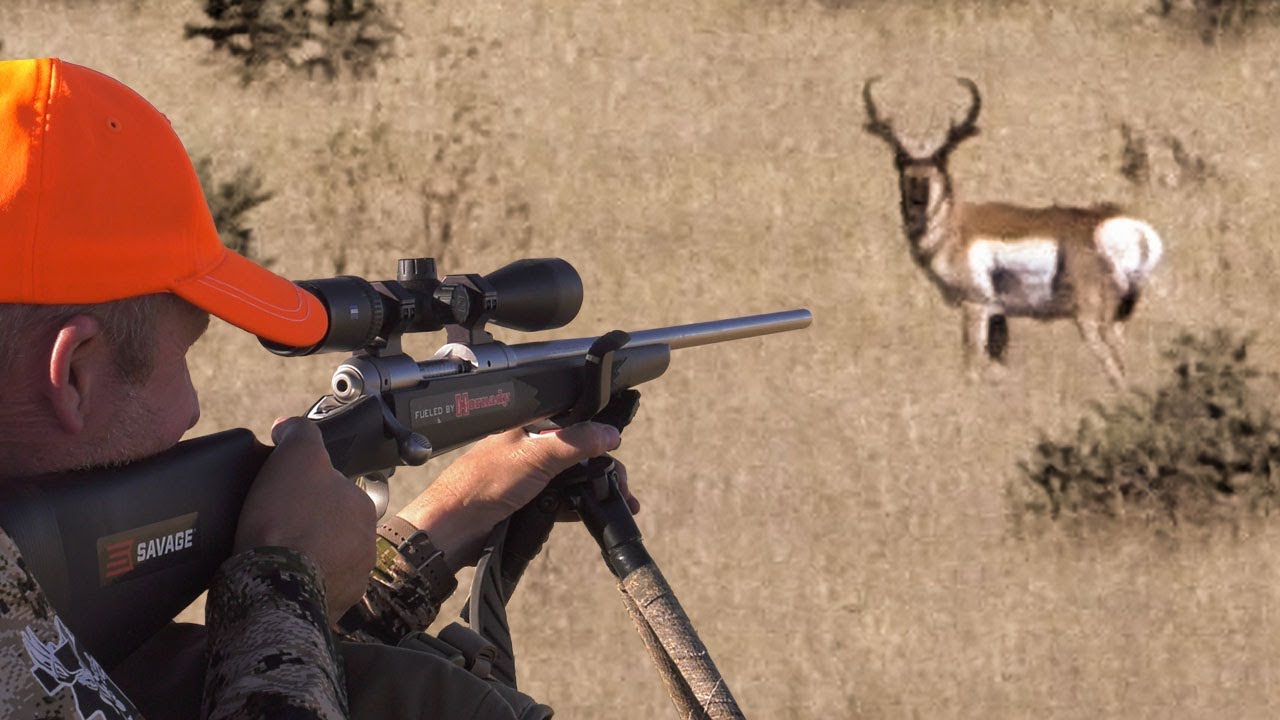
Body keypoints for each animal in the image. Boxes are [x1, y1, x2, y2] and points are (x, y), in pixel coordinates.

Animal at [862, 77, 1163, 386]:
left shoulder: (975, 305)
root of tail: (1127, 227)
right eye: (899, 161)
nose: (918, 198)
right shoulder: (1000, 316)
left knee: (1118, 370)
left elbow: (970, 366)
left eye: (942, 160)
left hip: (1092, 321)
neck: (956, 226)